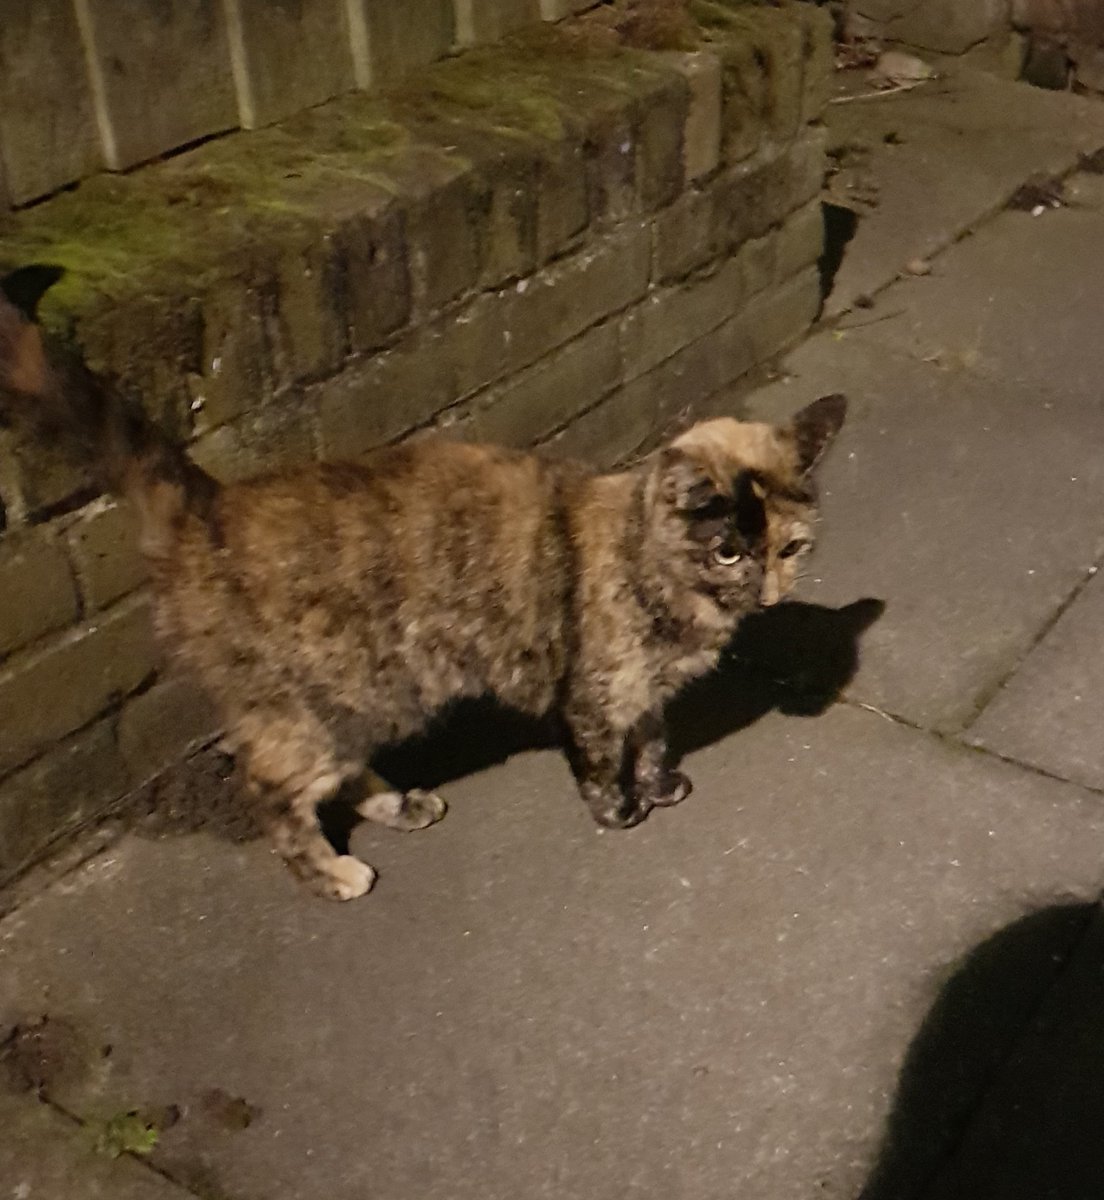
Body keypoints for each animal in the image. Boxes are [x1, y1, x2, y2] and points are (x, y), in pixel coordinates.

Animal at [0, 278, 846, 901]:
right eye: (729, 551)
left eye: (791, 547)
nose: (769, 595)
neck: (660, 577)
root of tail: (208, 509)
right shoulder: (593, 692)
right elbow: (604, 758)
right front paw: (621, 812)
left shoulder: (648, 692)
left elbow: (655, 737)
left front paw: (662, 784)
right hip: (328, 699)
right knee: (271, 786)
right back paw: (331, 874)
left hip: (358, 697)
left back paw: (399, 804)